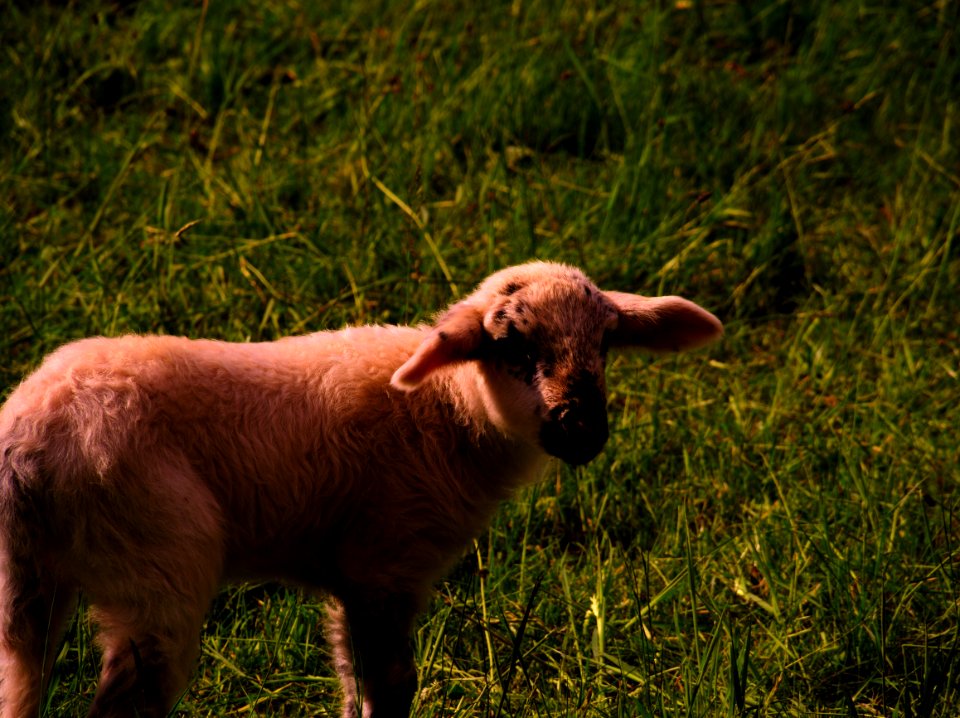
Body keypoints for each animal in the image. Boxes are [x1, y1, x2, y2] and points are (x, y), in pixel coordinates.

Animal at [0, 262, 720, 716]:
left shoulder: (348, 575)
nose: (582, 429)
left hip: (27, 584)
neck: (448, 409)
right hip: (155, 564)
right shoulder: (386, 564)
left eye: (606, 344)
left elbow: (353, 684)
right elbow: (392, 688)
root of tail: (30, 437)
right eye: (512, 344)